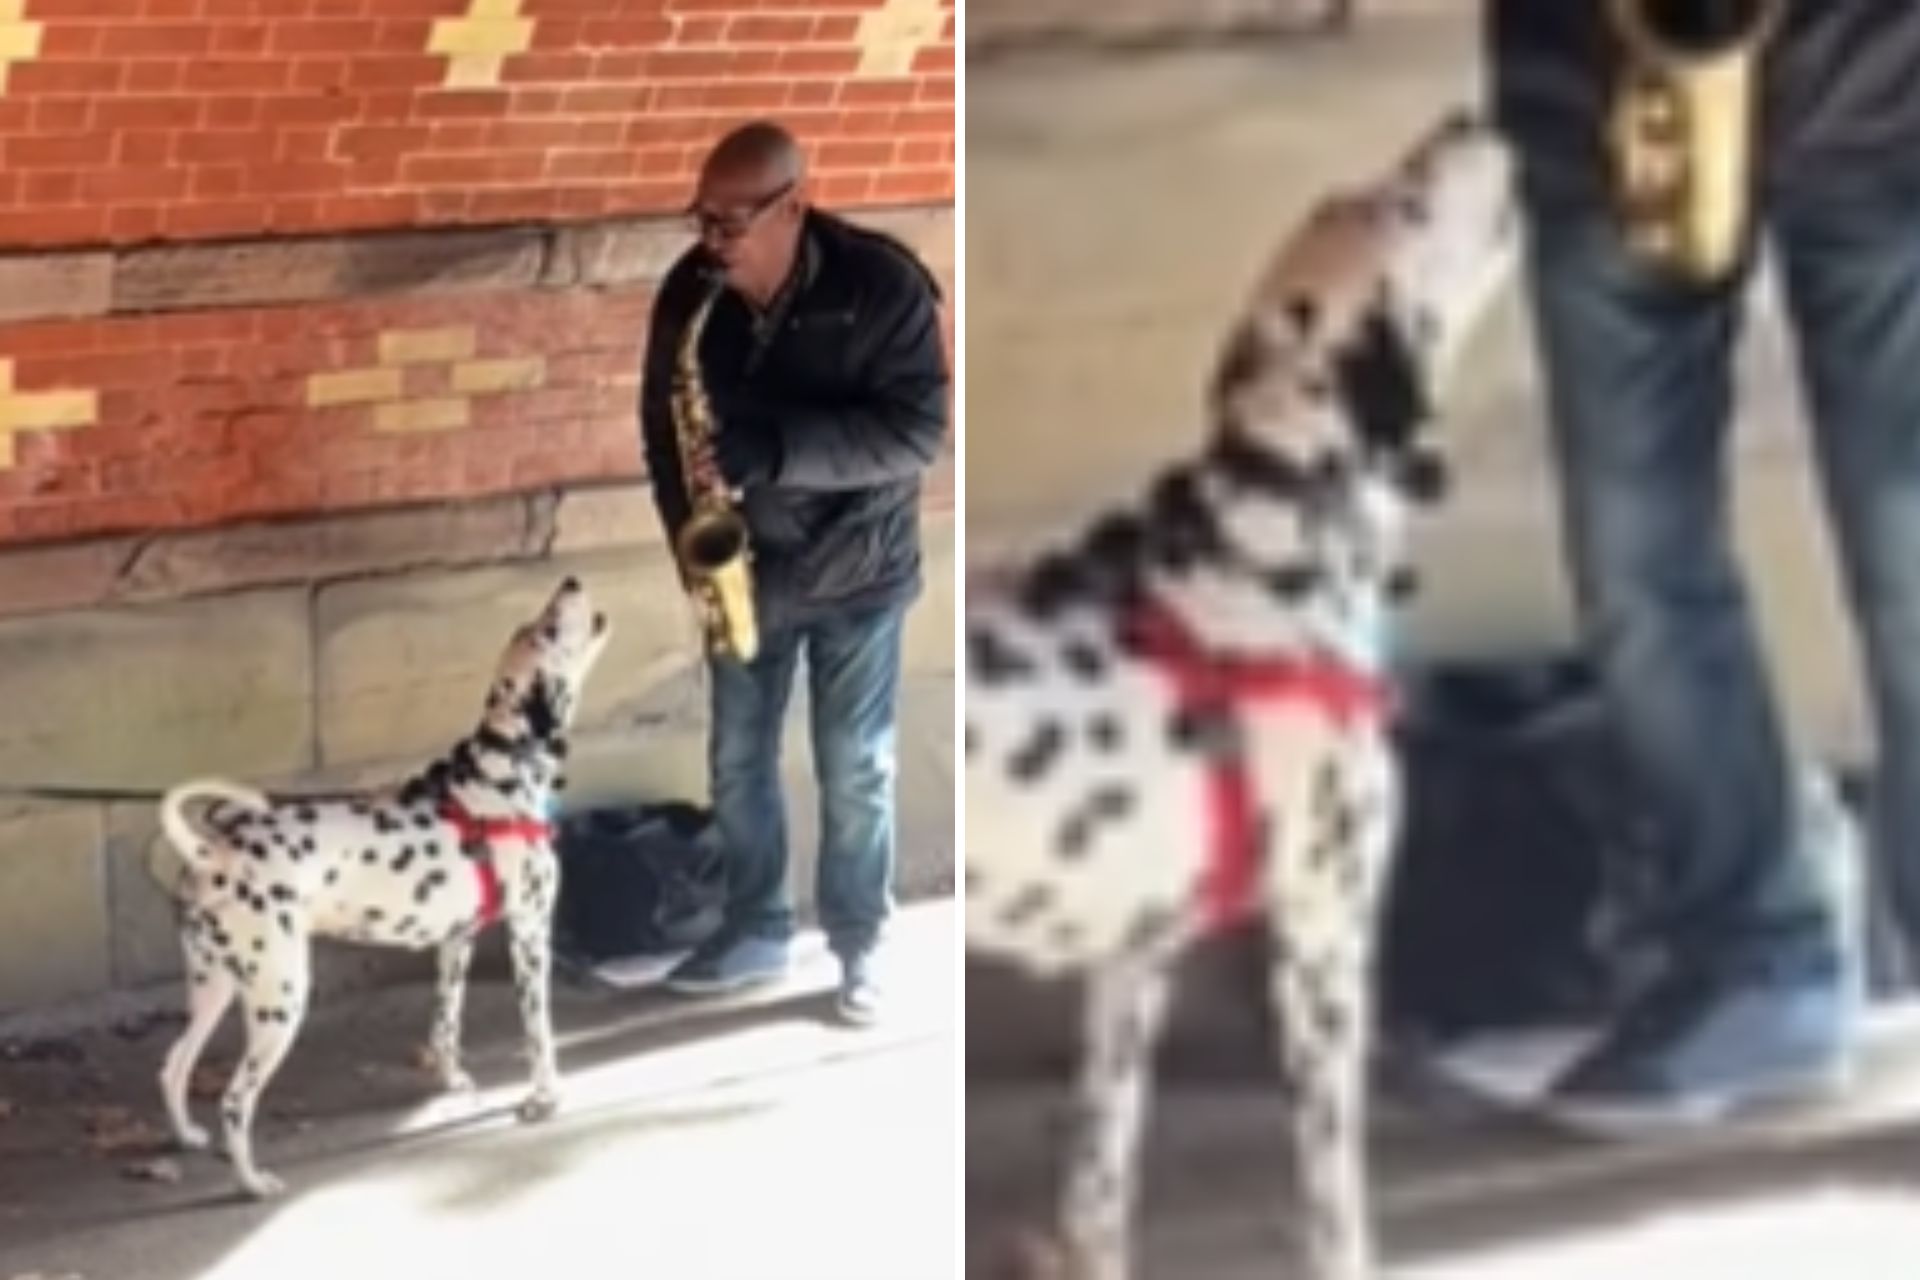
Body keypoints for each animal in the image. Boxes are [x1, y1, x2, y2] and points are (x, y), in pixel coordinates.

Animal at [152, 579, 610, 1205]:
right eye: (547, 630)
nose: (570, 581)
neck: (501, 776)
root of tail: (214, 851)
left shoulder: (455, 944)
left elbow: (445, 1025)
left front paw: (451, 1081)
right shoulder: (529, 934)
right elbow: (539, 1035)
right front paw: (545, 1099)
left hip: (214, 986)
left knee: (174, 1065)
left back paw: (186, 1137)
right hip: (279, 1000)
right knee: (234, 1101)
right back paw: (251, 1181)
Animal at [967, 112, 1520, 1280]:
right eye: (1400, 203)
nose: (1471, 116)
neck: (1270, 538)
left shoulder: (1129, 971)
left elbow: (1096, 1187)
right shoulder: (1322, 943)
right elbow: (1334, 1199)